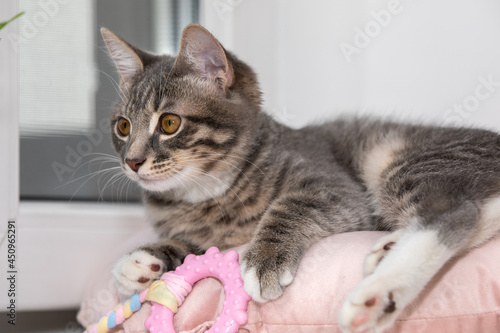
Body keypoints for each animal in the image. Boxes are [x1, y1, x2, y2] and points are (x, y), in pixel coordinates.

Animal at [100, 24, 500, 332]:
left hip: (404, 158)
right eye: (123, 127)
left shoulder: (338, 188)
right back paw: (388, 249)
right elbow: (197, 244)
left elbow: (292, 205)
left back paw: (379, 293)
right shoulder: (213, 236)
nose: (132, 161)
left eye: (170, 123)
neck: (206, 193)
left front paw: (264, 258)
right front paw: (141, 262)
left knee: (454, 213)